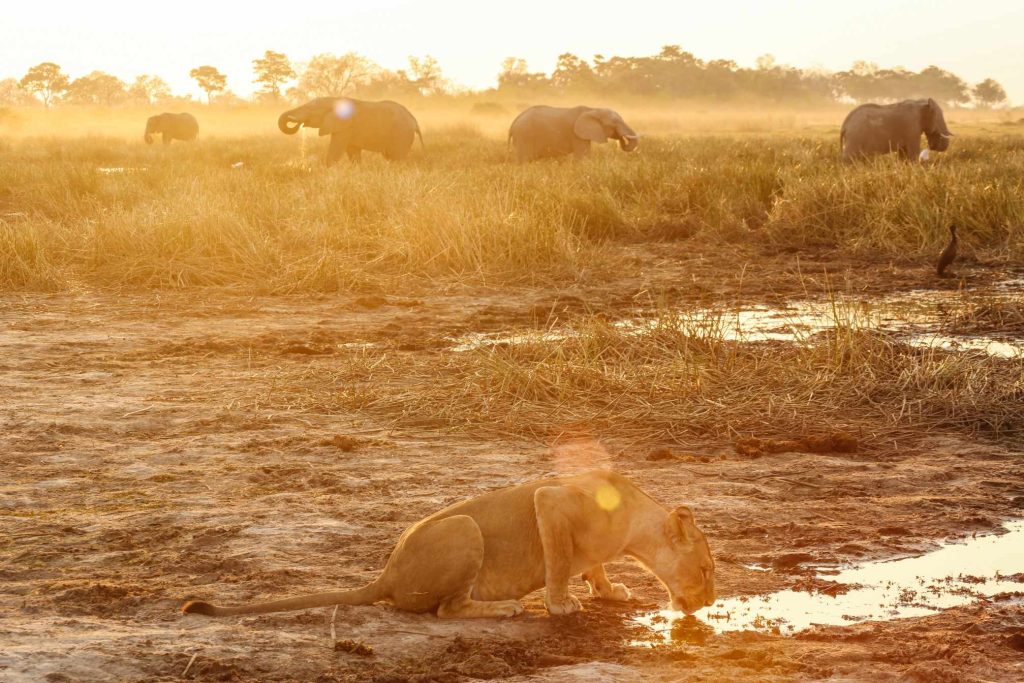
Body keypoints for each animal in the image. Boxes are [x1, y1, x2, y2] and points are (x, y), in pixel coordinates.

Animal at [181, 470, 715, 619]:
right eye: (708, 569)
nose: (711, 602)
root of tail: (386, 575)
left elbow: (592, 567)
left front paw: (609, 591)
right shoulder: (550, 501)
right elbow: (560, 563)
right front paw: (561, 605)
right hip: (464, 530)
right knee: (446, 610)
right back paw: (505, 609)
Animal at [277, 97, 423, 165]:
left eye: (310, 110)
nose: (299, 124)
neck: (332, 99)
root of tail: (414, 120)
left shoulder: (344, 127)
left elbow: (336, 150)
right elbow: (353, 152)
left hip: (401, 133)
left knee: (398, 157)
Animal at [508, 105, 639, 162]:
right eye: (615, 122)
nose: (621, 137)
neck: (593, 109)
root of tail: (514, 122)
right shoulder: (577, 135)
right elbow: (582, 156)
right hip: (524, 136)